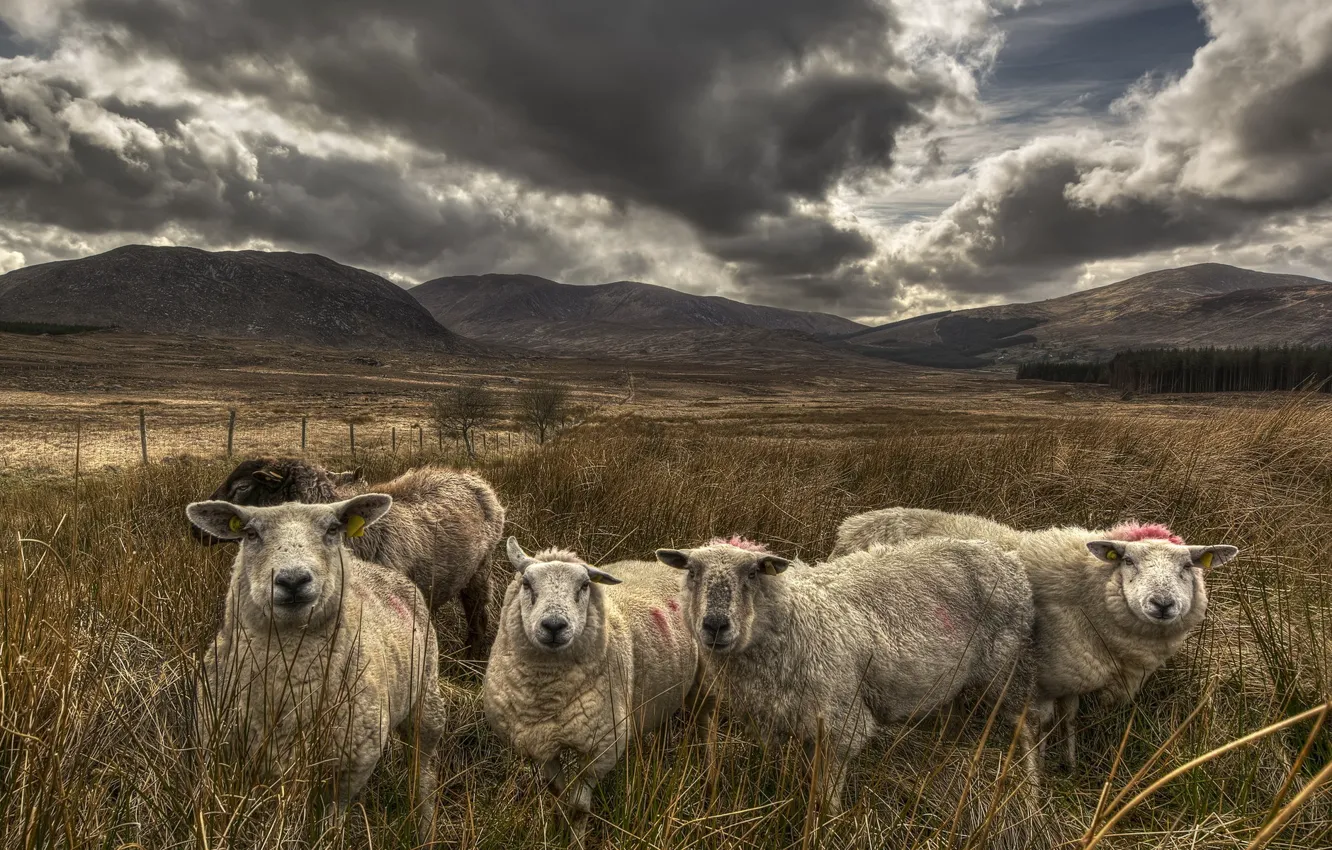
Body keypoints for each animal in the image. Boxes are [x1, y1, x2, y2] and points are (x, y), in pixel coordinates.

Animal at [186, 494, 447, 842]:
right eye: (251, 534)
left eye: (333, 529)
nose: (293, 580)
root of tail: (378, 569)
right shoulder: (220, 755)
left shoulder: (349, 769)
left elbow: (331, 824)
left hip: (427, 701)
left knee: (424, 773)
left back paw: (424, 828)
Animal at [483, 538, 699, 839]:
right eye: (526, 583)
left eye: (584, 585)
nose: (553, 625)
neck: (548, 696)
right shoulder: (539, 743)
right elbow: (557, 794)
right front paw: (557, 829)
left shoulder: (601, 749)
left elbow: (578, 807)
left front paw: (574, 838)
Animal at [655, 537, 1040, 812]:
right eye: (692, 572)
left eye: (752, 573)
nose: (715, 625)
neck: (793, 617)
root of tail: (1006, 556)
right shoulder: (790, 719)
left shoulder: (841, 722)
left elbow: (828, 797)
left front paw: (826, 827)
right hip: (960, 676)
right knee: (955, 713)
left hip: (1006, 666)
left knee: (1025, 728)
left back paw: (1032, 792)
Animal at [832, 509, 1240, 768]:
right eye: (1128, 561)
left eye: (1187, 565)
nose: (1163, 604)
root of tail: (854, 524)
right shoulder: (1040, 677)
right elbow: (1039, 726)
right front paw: (1039, 770)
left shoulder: (1076, 674)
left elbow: (1071, 719)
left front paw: (1069, 764)